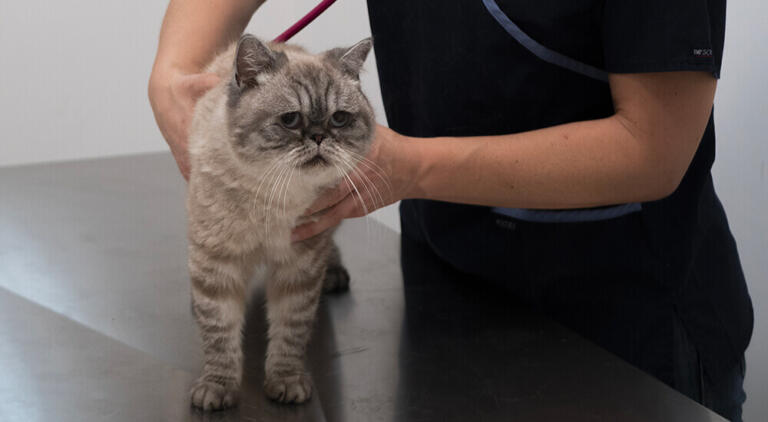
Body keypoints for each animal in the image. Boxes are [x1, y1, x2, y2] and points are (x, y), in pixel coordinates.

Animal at [188, 34, 376, 410]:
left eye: (339, 119)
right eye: (290, 119)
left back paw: (334, 275)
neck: (271, 197)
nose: (318, 136)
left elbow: (290, 335)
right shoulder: (216, 265)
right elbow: (219, 337)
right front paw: (217, 388)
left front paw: (286, 384)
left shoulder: (300, 268)